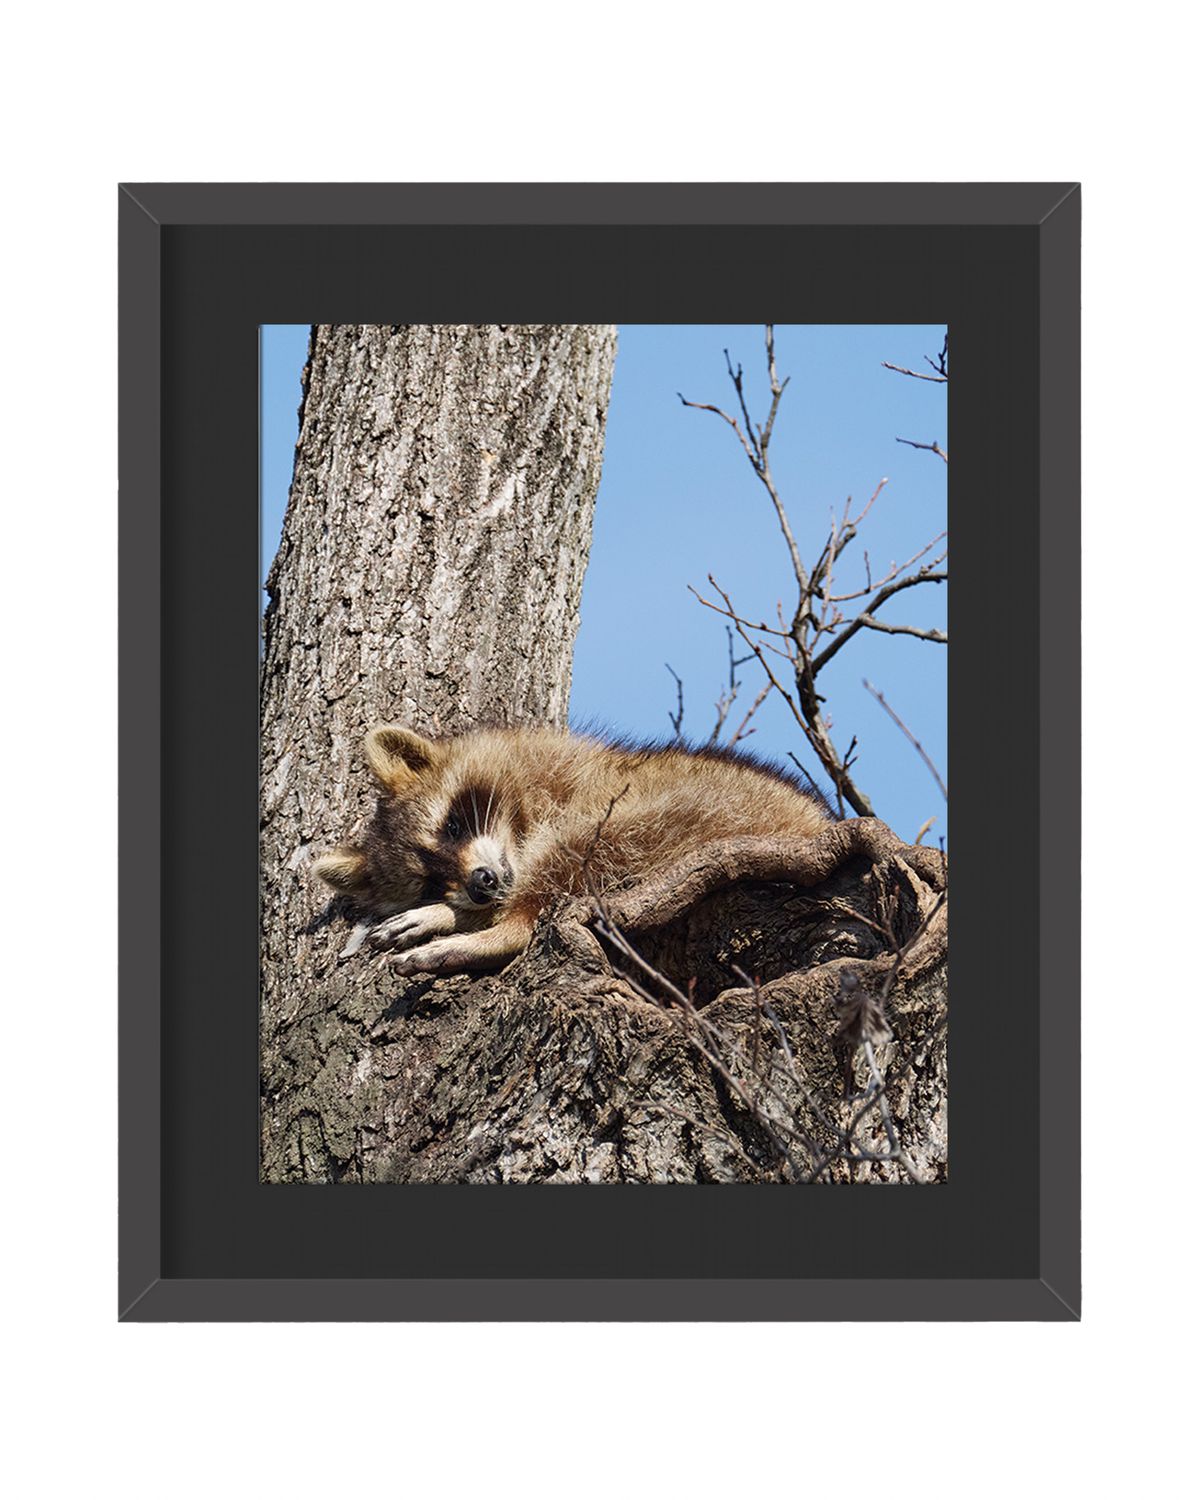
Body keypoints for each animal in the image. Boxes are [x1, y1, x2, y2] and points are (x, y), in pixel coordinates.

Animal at [313, 724, 832, 976]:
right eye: (429, 880)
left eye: (454, 826)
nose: (480, 884)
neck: (517, 824)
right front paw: (450, 908)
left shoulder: (568, 774)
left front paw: (464, 915)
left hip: (704, 809)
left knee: (570, 852)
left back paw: (494, 932)